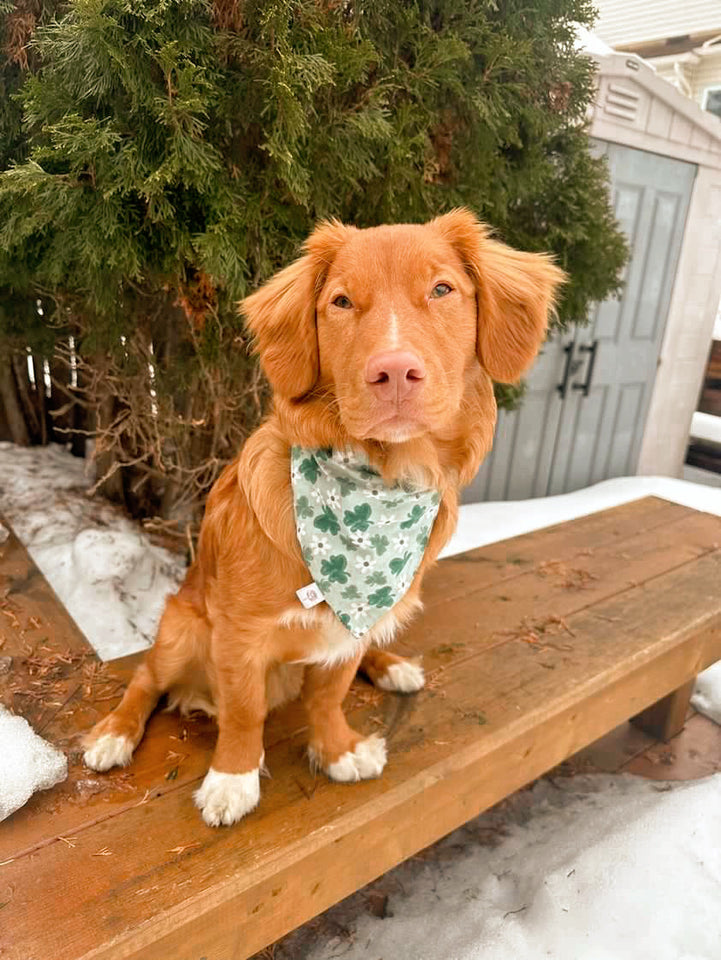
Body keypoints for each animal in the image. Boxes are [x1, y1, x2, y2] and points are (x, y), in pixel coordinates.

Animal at [80, 210, 564, 824]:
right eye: (341, 301)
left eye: (442, 290)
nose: (395, 372)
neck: (378, 486)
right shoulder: (238, 634)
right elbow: (243, 711)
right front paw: (232, 780)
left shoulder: (349, 626)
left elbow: (329, 694)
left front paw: (336, 750)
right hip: (181, 630)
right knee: (146, 677)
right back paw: (114, 734)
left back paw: (391, 665)